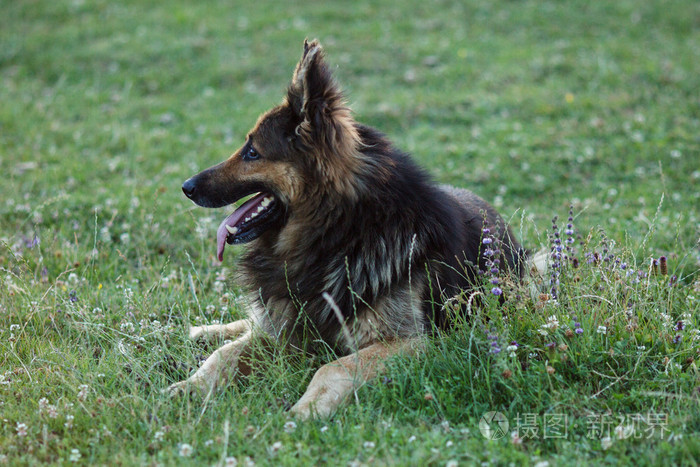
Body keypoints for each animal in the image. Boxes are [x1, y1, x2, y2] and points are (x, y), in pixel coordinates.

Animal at [170, 40, 524, 418]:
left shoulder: (411, 342)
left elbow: (334, 367)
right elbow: (225, 354)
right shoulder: (284, 326)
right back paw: (203, 330)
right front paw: (191, 386)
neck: (337, 235)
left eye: (253, 152)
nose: (186, 187)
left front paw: (304, 411)